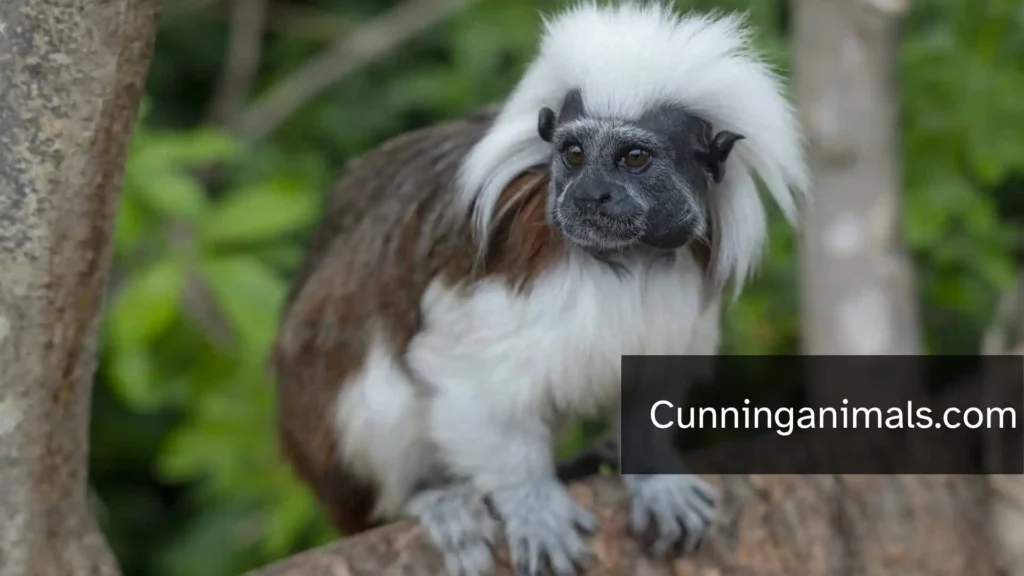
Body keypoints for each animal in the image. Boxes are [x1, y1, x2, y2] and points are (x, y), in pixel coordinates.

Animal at [271, 2, 809, 576]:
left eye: (634, 158)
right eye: (573, 154)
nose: (591, 193)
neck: (624, 259)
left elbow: (646, 383)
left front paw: (651, 473)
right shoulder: (491, 288)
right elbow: (469, 387)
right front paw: (532, 501)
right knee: (376, 391)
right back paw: (430, 498)